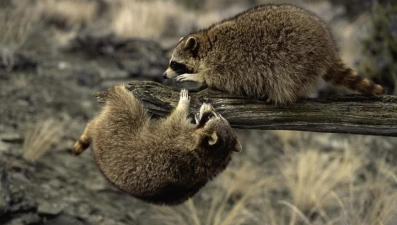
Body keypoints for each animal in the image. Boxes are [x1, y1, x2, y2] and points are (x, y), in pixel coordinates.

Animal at [72, 86, 241, 206]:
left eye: (211, 116)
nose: (208, 103)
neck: (213, 155)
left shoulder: (179, 135)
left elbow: (176, 118)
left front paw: (183, 105)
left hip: (117, 129)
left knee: (127, 106)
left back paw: (118, 92)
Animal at [162, 3, 384, 103]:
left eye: (174, 63)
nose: (164, 75)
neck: (207, 45)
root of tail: (328, 46)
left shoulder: (230, 60)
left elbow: (221, 77)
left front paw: (197, 76)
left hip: (300, 58)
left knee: (288, 78)